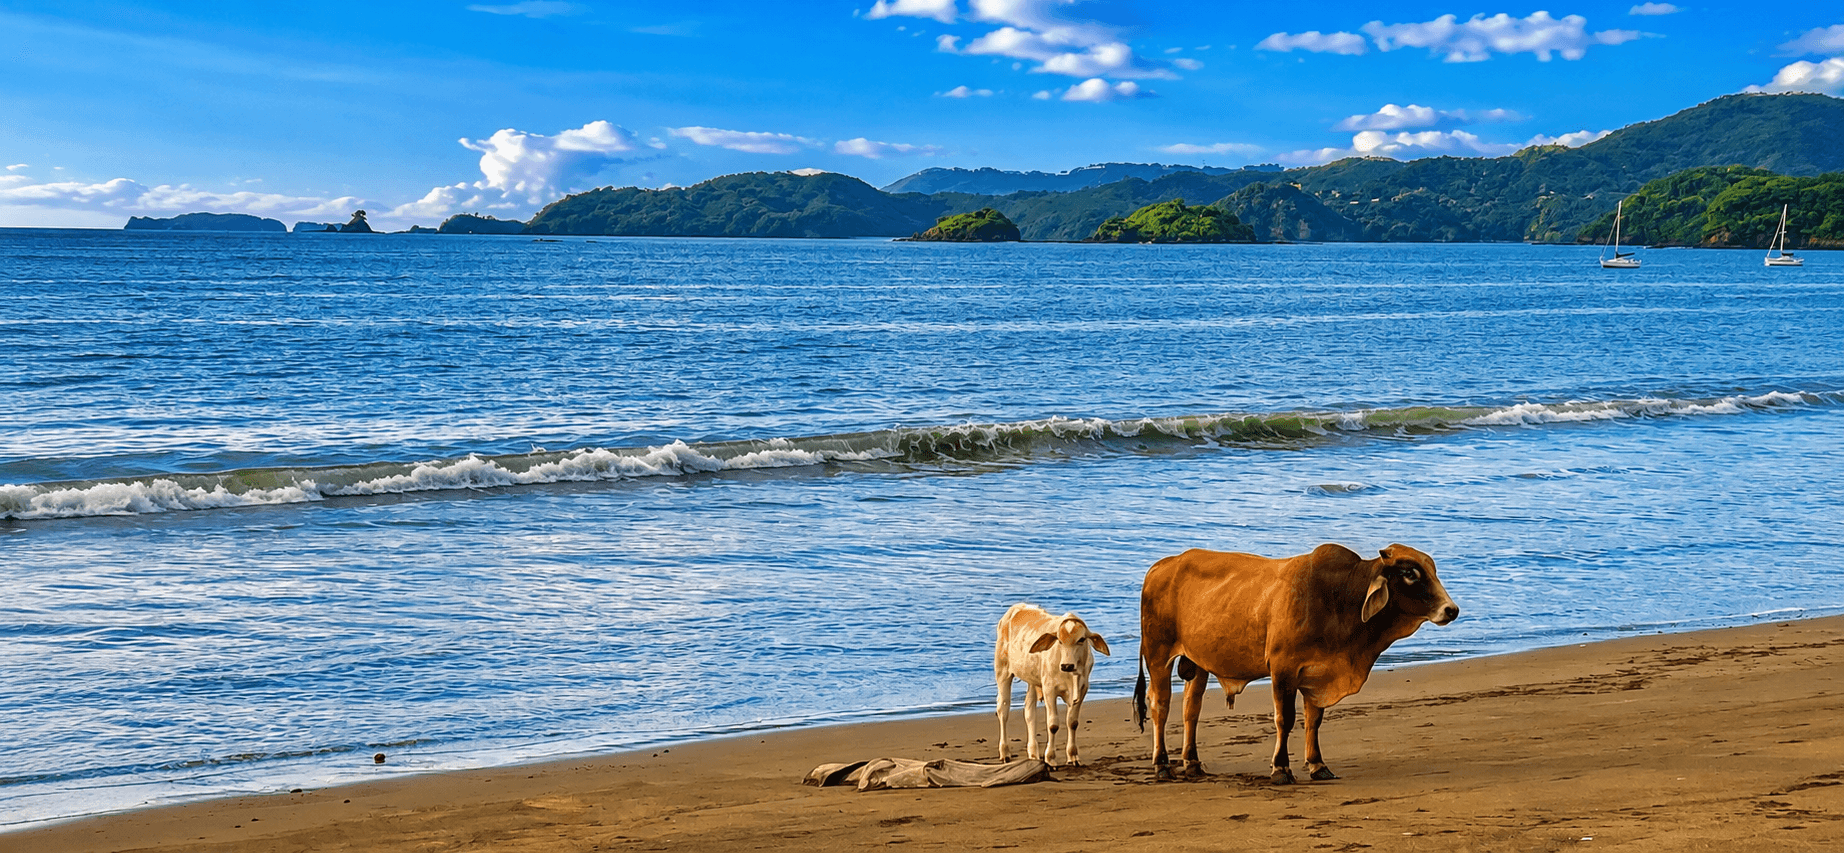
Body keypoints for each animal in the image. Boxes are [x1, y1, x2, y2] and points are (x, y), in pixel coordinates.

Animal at [995, 603, 1111, 767]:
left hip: (1033, 680)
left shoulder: (1083, 689)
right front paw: (1050, 758)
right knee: (1003, 710)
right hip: (1002, 671)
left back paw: (1033, 753)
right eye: (1059, 640)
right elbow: (1053, 724)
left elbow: (1072, 722)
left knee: (1029, 712)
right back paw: (1005, 752)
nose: (1067, 666)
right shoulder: (1049, 688)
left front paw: (1073, 756)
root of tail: (1017, 607)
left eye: (1081, 639)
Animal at [1132, 543, 1458, 784]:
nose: (1451, 610)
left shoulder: (1317, 673)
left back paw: (1192, 763)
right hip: (1158, 653)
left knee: (1192, 709)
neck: (1340, 598)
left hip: (1197, 662)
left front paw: (1318, 765)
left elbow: (1313, 720)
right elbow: (1285, 719)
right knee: (1160, 705)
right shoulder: (1283, 669)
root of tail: (1162, 566)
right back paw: (1162, 766)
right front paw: (1280, 768)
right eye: (1410, 573)